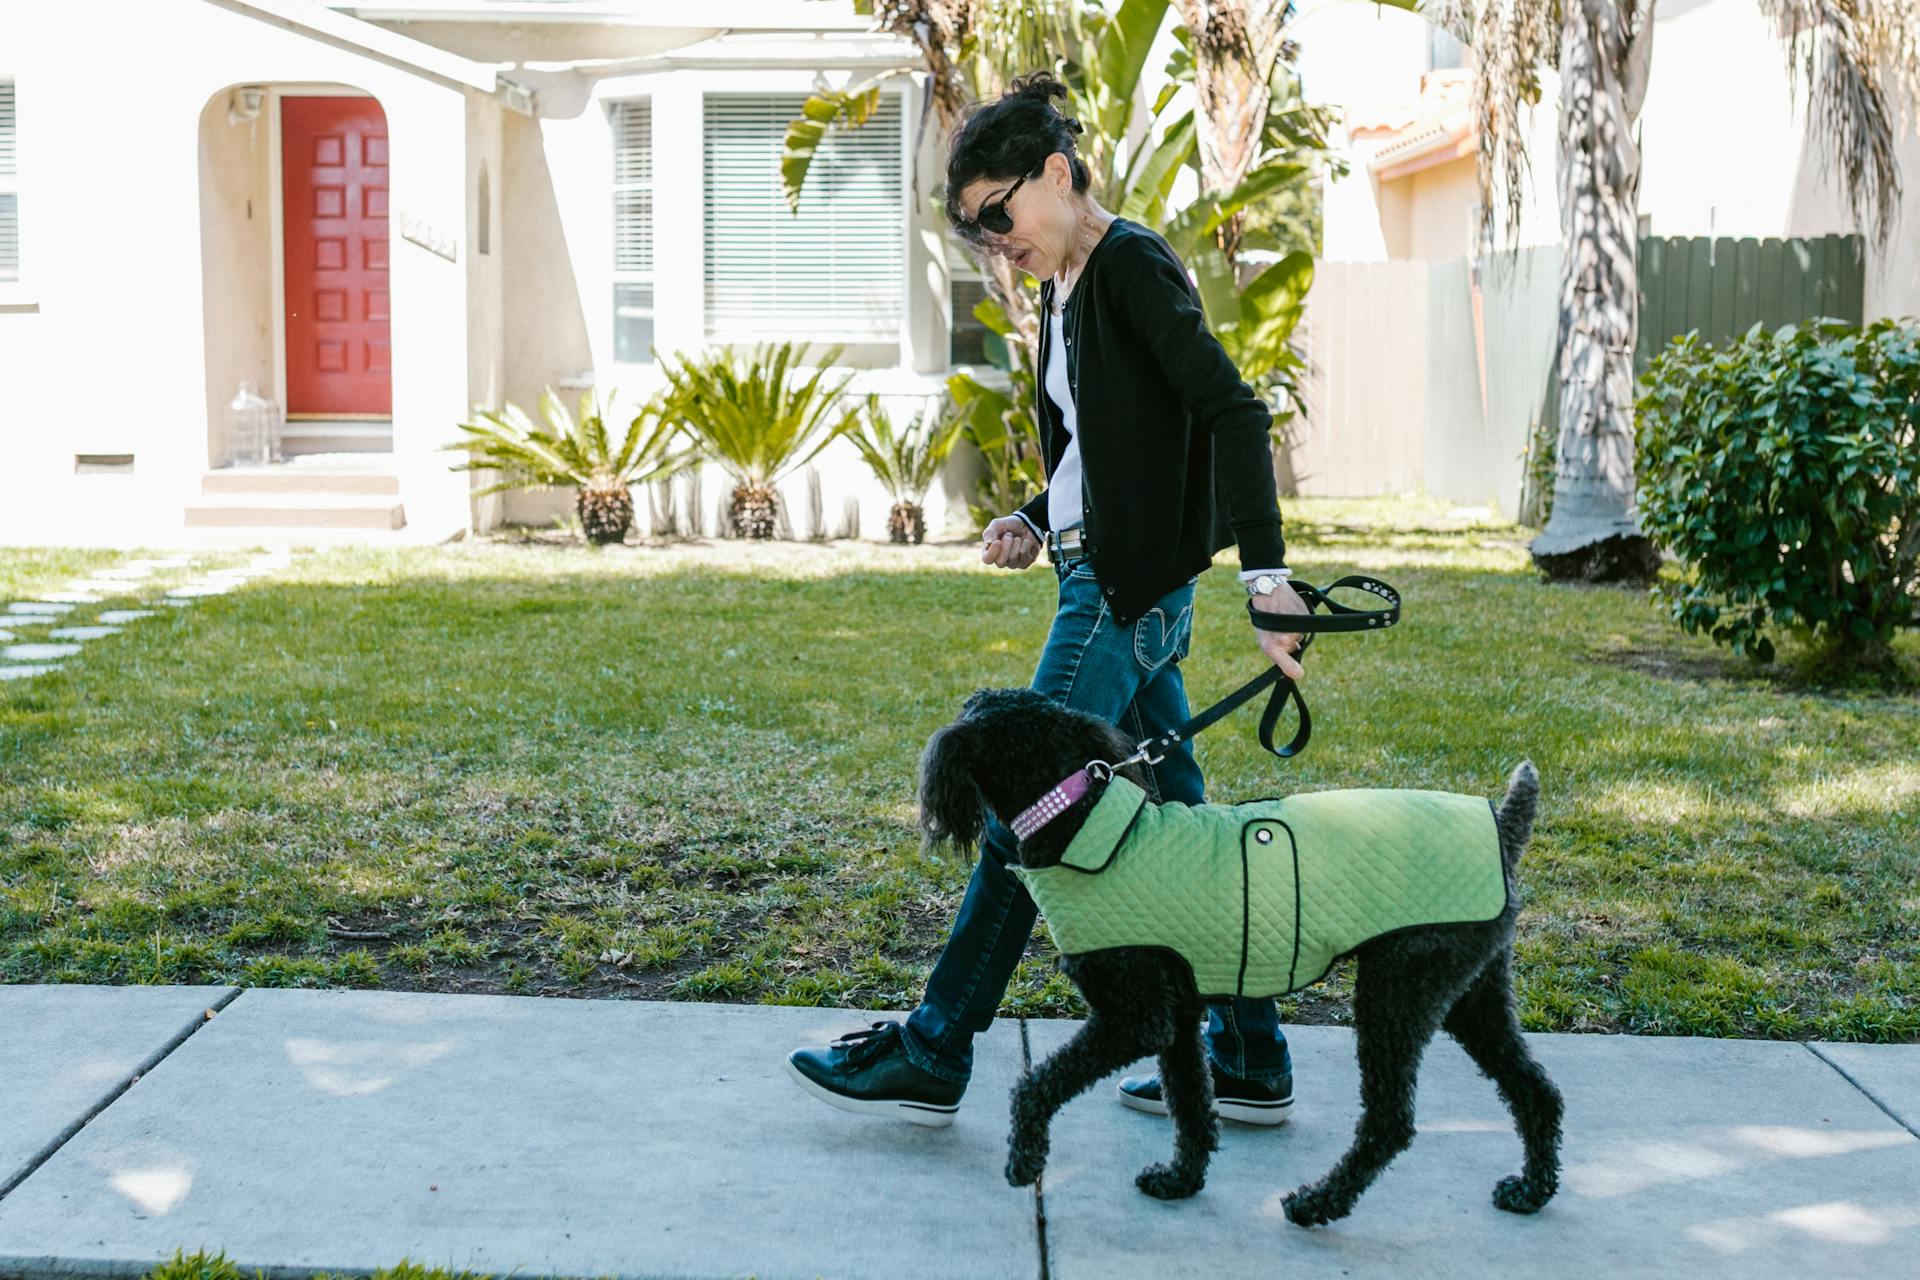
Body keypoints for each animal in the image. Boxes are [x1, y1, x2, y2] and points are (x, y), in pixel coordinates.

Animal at [913, 687, 1559, 1228]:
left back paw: (1317, 1203)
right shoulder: (1177, 1016)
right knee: (1535, 1090)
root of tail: (1503, 827)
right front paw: (1181, 1180)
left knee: (1390, 1122)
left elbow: (1036, 1084)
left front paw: (1025, 1160)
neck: (1079, 818)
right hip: (1471, 993)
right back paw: (1531, 1191)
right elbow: (1192, 1104)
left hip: (1396, 992)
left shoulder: (1135, 1016)